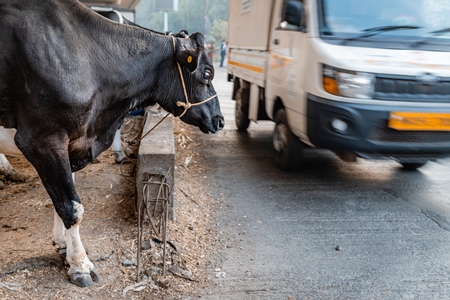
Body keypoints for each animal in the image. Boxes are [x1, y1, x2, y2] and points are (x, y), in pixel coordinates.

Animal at [0, 0, 223, 286]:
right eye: (206, 73)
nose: (220, 120)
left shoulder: (73, 141)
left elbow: (64, 197)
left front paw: (63, 244)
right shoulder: (42, 139)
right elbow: (71, 206)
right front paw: (80, 264)